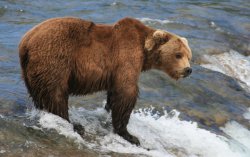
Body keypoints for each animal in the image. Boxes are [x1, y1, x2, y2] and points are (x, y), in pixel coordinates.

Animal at [18, 16, 192, 145]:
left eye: (189, 56)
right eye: (178, 54)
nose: (188, 70)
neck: (144, 52)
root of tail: (25, 42)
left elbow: (114, 92)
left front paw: (108, 109)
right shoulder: (126, 56)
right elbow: (126, 92)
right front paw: (130, 135)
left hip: (30, 71)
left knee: (40, 95)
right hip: (55, 57)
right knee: (56, 93)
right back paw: (74, 124)